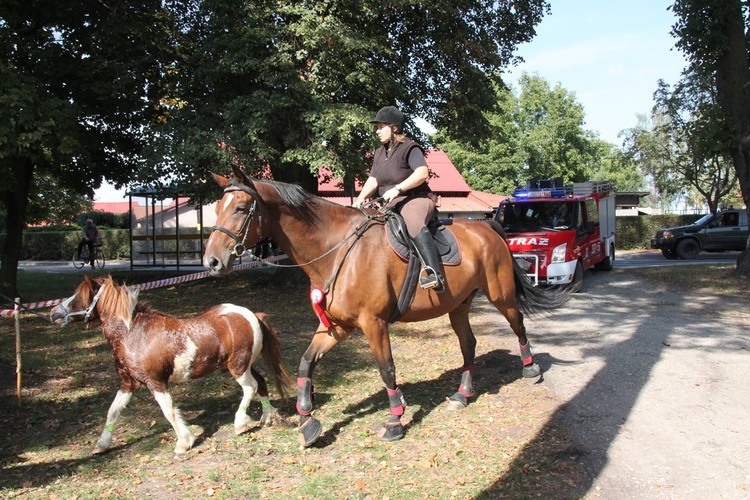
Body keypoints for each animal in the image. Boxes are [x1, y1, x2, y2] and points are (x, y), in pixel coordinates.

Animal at [50, 276, 294, 456]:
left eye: (79, 296)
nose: (53, 312)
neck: (134, 333)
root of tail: (252, 314)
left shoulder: (156, 382)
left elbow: (168, 411)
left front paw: (183, 443)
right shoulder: (128, 383)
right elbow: (113, 412)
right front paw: (102, 444)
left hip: (238, 367)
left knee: (250, 388)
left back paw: (240, 424)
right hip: (242, 365)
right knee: (260, 383)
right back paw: (268, 416)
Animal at [203, 166, 568, 448]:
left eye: (240, 209)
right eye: (217, 208)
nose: (212, 261)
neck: (338, 249)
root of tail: (486, 226)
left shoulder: (373, 323)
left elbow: (386, 369)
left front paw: (395, 421)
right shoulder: (338, 326)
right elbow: (306, 363)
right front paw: (307, 419)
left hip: (500, 295)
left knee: (518, 324)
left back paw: (531, 369)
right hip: (458, 305)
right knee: (468, 344)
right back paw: (462, 395)